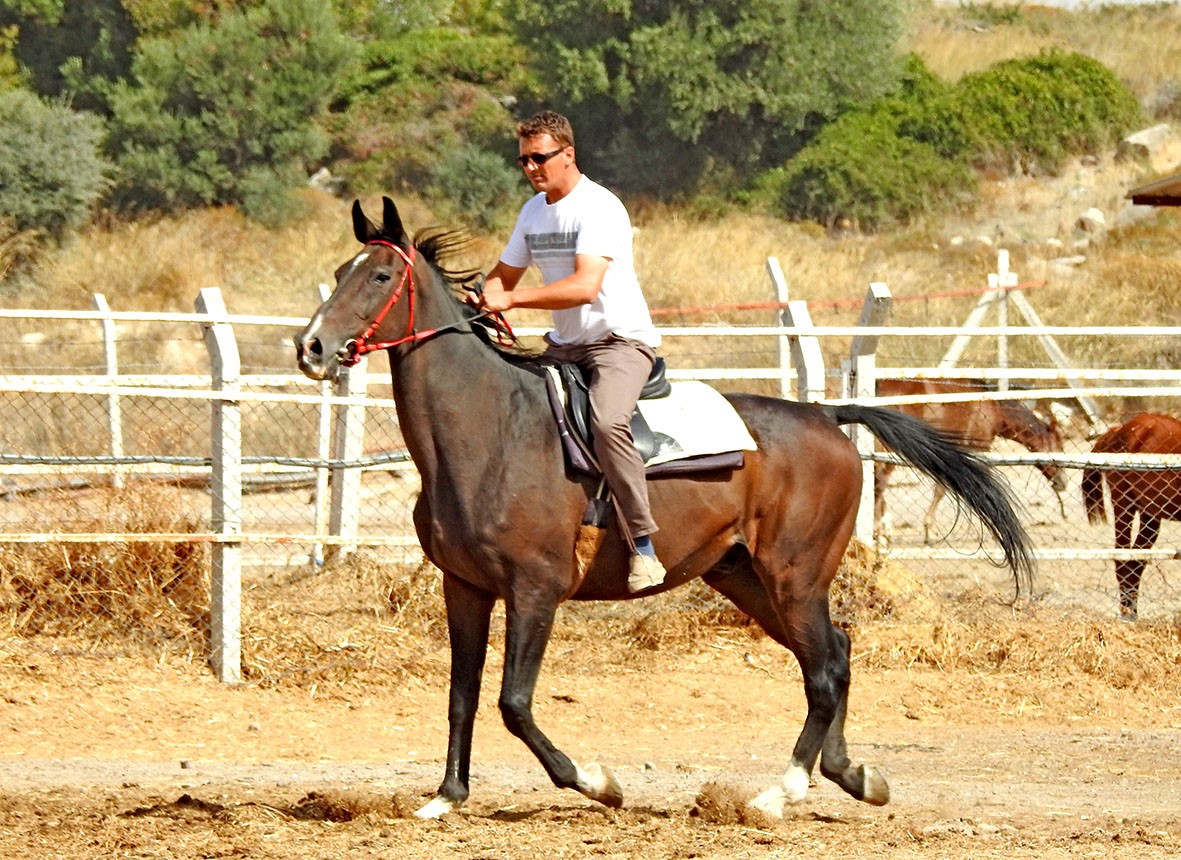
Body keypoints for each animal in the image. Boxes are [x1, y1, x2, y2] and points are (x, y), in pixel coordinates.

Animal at [292, 199, 1034, 817]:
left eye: (381, 275)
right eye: (338, 272)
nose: (311, 347)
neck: (489, 429)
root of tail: (827, 415)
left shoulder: (535, 589)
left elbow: (513, 704)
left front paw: (598, 782)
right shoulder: (464, 587)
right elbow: (461, 695)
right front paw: (447, 796)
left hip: (793, 576)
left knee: (825, 669)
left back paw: (780, 793)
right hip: (744, 576)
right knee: (834, 655)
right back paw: (853, 776)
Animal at [873, 378, 1067, 541]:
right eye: (1059, 447)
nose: (1062, 483)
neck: (992, 408)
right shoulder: (977, 450)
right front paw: (931, 530)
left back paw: (885, 530)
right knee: (880, 483)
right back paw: (877, 531)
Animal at [1081, 415, 1181, 623]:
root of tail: (1117, 430)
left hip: (1150, 513)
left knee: (1137, 560)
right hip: (1124, 505)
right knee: (1123, 557)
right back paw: (1127, 613)